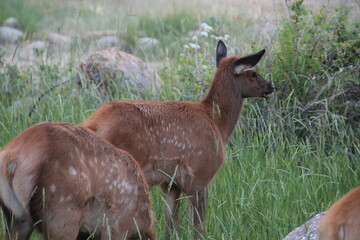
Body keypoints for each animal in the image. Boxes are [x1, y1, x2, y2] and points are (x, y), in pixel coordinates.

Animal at [81, 39, 272, 238]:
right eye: (254, 73)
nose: (271, 86)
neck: (216, 123)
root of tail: (92, 123)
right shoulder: (199, 174)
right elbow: (198, 226)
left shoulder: (171, 183)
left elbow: (171, 225)